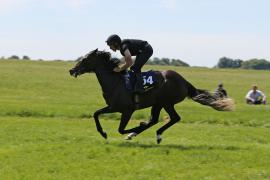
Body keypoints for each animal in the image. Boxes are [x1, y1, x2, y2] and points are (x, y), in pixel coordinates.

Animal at [69, 48, 234, 143]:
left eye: (85, 59)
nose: (72, 70)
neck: (115, 82)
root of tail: (184, 81)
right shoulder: (112, 107)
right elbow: (96, 113)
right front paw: (103, 133)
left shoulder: (127, 110)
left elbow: (121, 129)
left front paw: (135, 128)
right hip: (158, 103)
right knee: (155, 120)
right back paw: (143, 133)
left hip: (167, 102)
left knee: (174, 118)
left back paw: (155, 134)